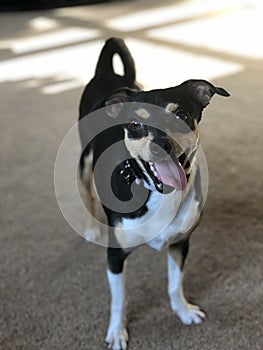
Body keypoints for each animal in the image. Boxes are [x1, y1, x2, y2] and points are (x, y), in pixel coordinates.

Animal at [78, 37, 229, 348]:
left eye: (182, 114)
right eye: (135, 124)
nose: (162, 144)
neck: (159, 192)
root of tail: (107, 74)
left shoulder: (180, 243)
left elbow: (174, 284)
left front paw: (183, 312)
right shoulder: (115, 256)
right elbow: (119, 299)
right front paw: (117, 331)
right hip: (85, 159)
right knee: (86, 191)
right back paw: (90, 228)